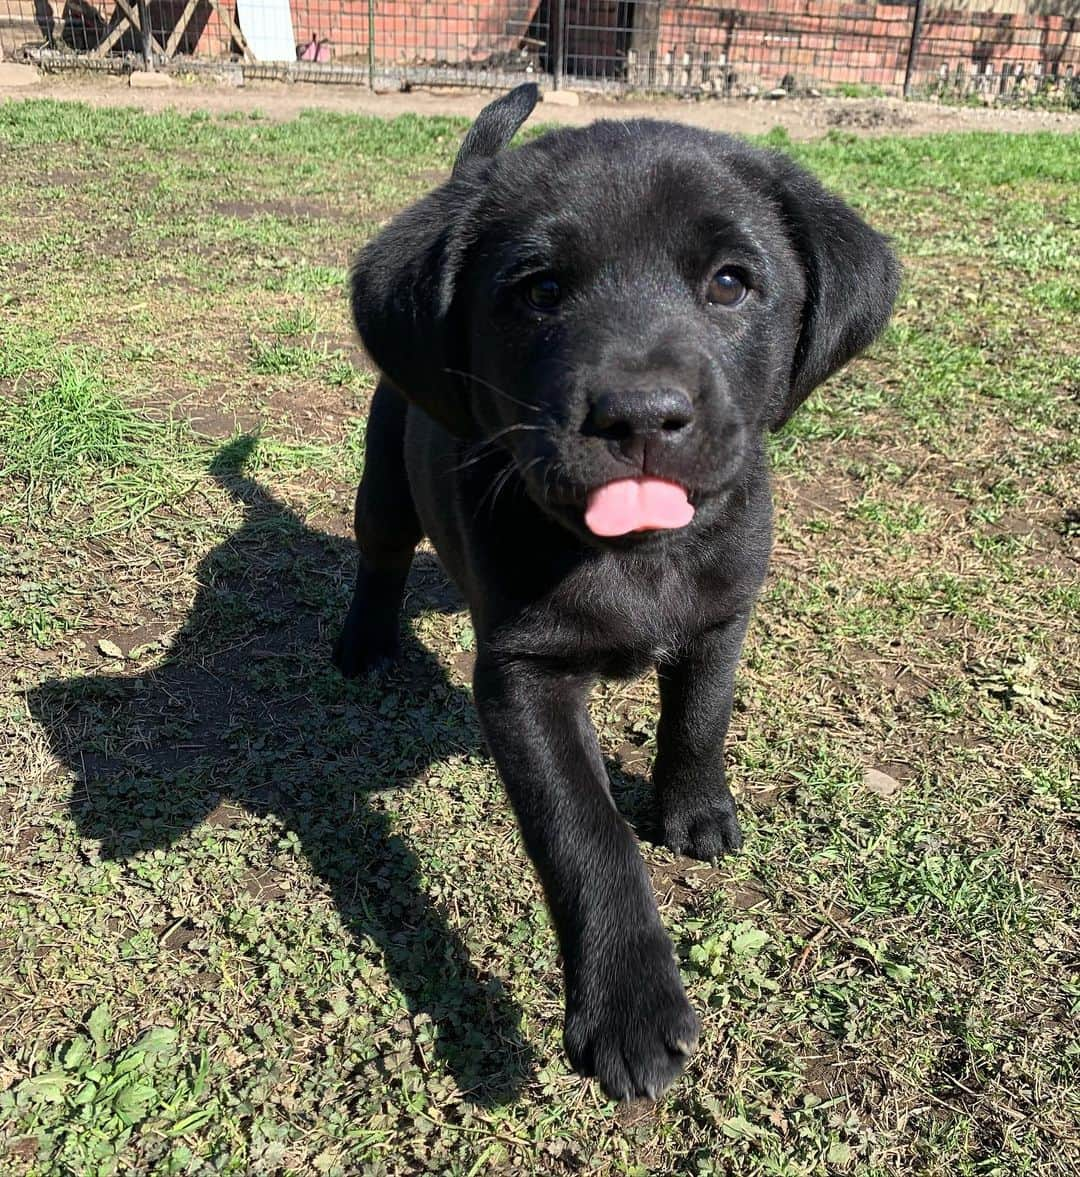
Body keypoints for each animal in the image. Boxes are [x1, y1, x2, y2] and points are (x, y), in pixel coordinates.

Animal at [336, 85, 894, 1101]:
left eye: (730, 283)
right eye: (541, 290)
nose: (638, 415)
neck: (636, 555)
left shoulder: (723, 615)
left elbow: (701, 715)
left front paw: (695, 810)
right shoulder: (522, 675)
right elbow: (585, 831)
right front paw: (630, 1008)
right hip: (388, 472)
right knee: (381, 553)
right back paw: (363, 640)